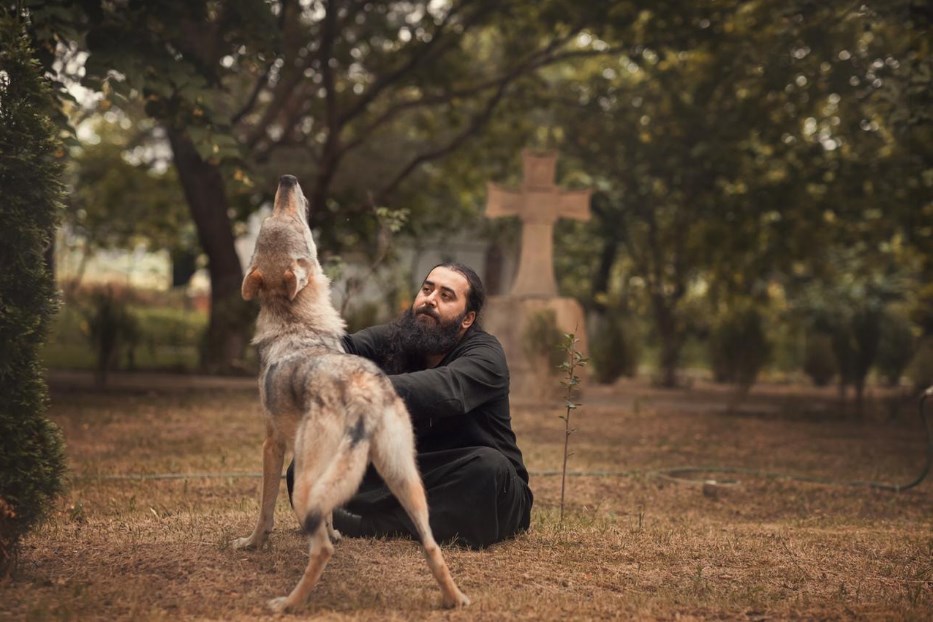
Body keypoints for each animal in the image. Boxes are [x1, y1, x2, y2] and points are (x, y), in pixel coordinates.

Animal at [230, 176, 470, 616]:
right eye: (274, 222)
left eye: (293, 226)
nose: (286, 179)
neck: (296, 324)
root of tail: (360, 393)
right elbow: (326, 518)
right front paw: (335, 531)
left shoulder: (272, 445)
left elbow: (264, 511)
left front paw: (252, 545)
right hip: (407, 481)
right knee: (431, 545)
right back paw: (454, 600)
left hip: (305, 481)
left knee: (320, 550)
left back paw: (288, 604)